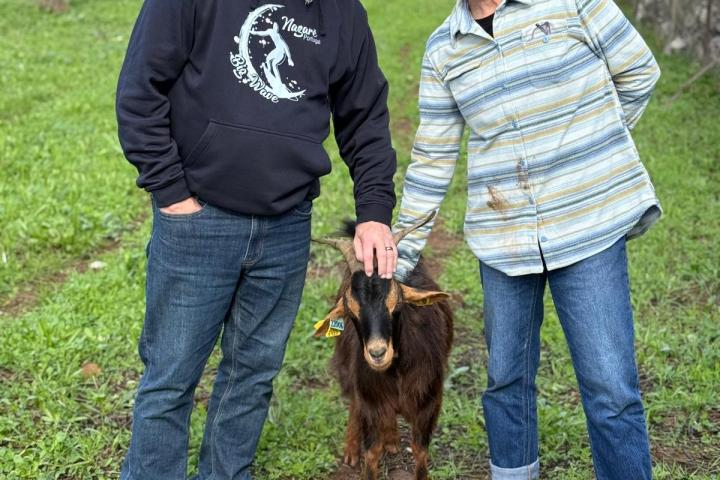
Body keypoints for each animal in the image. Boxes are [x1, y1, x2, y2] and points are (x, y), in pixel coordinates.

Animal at [313, 212, 454, 480]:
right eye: (351, 314)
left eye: (397, 306)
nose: (377, 353)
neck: (395, 374)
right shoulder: (371, 400)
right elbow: (371, 452)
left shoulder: (429, 403)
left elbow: (420, 451)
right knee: (354, 402)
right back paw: (352, 450)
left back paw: (391, 440)